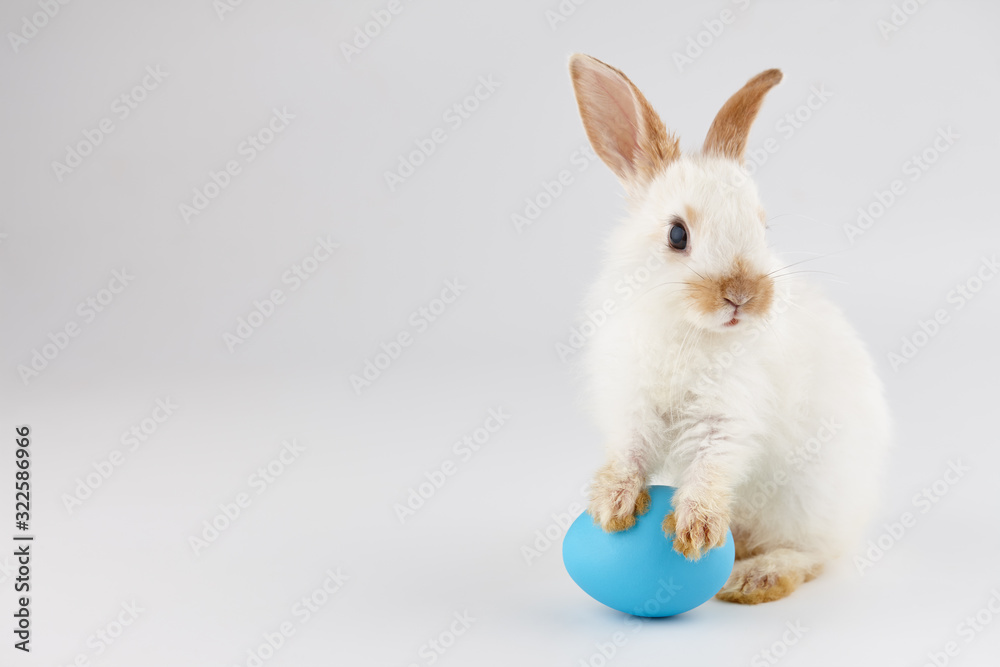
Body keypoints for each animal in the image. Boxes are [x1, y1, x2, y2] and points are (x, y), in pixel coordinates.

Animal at [567, 54, 891, 604]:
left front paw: (697, 530)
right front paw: (611, 505)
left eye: (762, 227)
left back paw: (755, 577)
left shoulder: (728, 415)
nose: (743, 295)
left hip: (804, 503)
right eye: (677, 235)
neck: (688, 330)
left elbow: (710, 466)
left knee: (811, 555)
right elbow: (629, 451)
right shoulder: (631, 402)